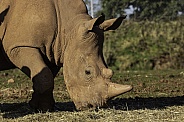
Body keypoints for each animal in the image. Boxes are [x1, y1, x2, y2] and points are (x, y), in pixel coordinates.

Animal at [0, 0, 132, 111]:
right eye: (87, 72)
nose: (95, 106)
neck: (68, 27)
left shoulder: (53, 51)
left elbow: (45, 75)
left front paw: (39, 106)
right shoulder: (20, 46)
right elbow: (45, 76)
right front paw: (43, 108)